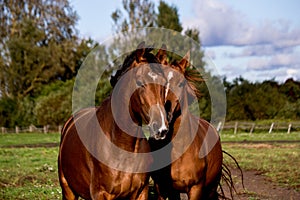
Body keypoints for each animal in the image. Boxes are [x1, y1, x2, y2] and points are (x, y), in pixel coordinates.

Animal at [57, 41, 170, 199]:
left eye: (165, 83)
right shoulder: (101, 194)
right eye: (139, 82)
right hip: (68, 190)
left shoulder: (141, 192)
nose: (161, 128)